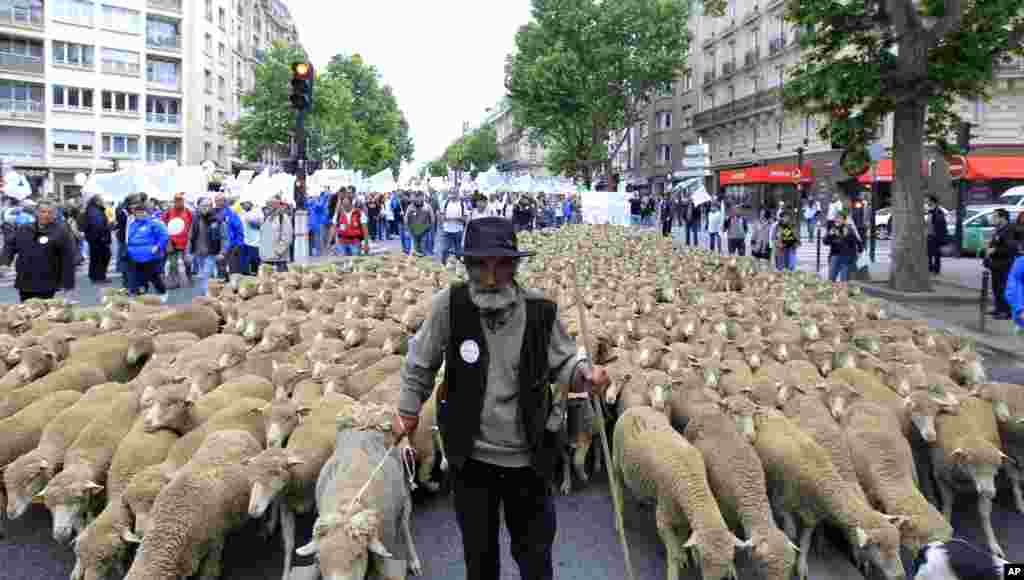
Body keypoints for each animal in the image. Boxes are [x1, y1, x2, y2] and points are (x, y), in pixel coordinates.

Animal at [120, 430, 264, 580]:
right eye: (129, 507)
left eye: (150, 501)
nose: (139, 533)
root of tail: (235, 431)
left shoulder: (216, 540)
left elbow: (210, 571)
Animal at [610, 407, 749, 580]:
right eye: (704, 558)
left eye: (731, 557)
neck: (693, 485)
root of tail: (635, 408)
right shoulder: (663, 520)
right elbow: (673, 553)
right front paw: (675, 567)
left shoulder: (682, 516)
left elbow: (683, 537)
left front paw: (683, 554)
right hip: (616, 459)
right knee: (617, 485)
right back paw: (618, 518)